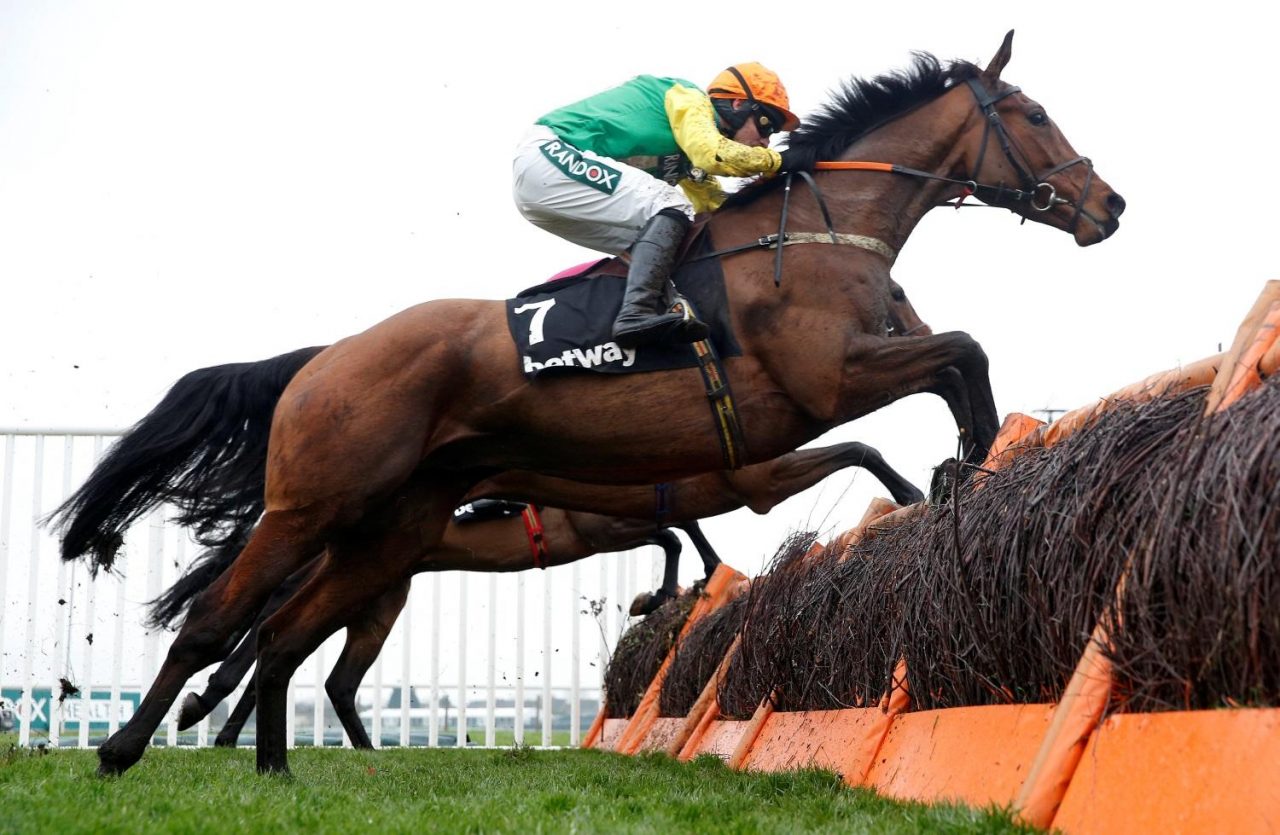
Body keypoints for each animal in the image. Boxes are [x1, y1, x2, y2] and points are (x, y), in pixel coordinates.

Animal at [65, 32, 1123, 775]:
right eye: (1033, 112)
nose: (1109, 205)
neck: (823, 231)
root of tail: (327, 358)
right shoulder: (822, 387)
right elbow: (963, 356)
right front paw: (964, 465)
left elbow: (955, 367)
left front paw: (958, 475)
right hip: (314, 503)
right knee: (219, 622)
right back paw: (124, 749)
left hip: (391, 528)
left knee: (286, 637)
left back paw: (276, 769)